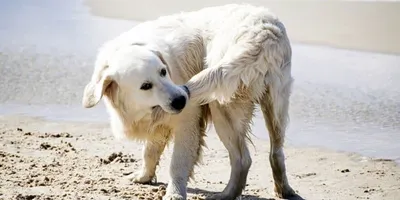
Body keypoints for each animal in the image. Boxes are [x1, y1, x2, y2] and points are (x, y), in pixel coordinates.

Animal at [83, 3, 296, 200]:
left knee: (242, 159)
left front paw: (174, 193)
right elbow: (150, 150)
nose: (180, 100)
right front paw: (144, 176)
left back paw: (225, 194)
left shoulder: (188, 121)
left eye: (163, 71)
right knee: (276, 152)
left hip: (222, 106)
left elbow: (177, 162)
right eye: (146, 85)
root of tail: (264, 33)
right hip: (276, 104)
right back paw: (282, 190)